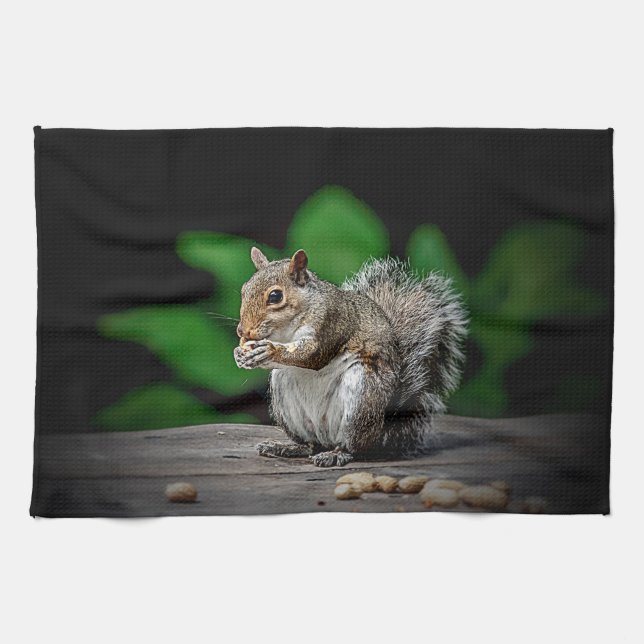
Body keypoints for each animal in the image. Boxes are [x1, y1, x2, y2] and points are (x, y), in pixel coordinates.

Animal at [233, 247, 468, 467]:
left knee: (353, 447)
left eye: (275, 296)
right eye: (244, 290)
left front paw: (269, 350)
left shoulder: (331, 321)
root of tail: (382, 433)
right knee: (311, 444)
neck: (286, 329)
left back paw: (336, 454)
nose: (242, 331)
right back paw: (287, 447)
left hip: (362, 397)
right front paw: (240, 354)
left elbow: (313, 355)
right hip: (286, 394)